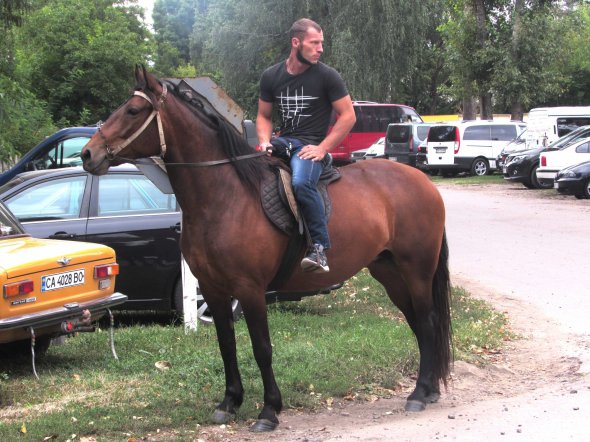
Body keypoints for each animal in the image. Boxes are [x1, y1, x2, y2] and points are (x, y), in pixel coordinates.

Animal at [81, 65, 454, 432]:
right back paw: (430, 388)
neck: (224, 197)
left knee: (427, 320)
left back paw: (420, 392)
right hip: (389, 272)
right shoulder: (214, 289)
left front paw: (269, 410)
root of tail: (423, 182)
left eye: (132, 110)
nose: (87, 153)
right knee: (418, 323)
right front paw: (229, 403)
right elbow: (226, 345)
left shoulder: (249, 289)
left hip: (417, 270)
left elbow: (262, 348)